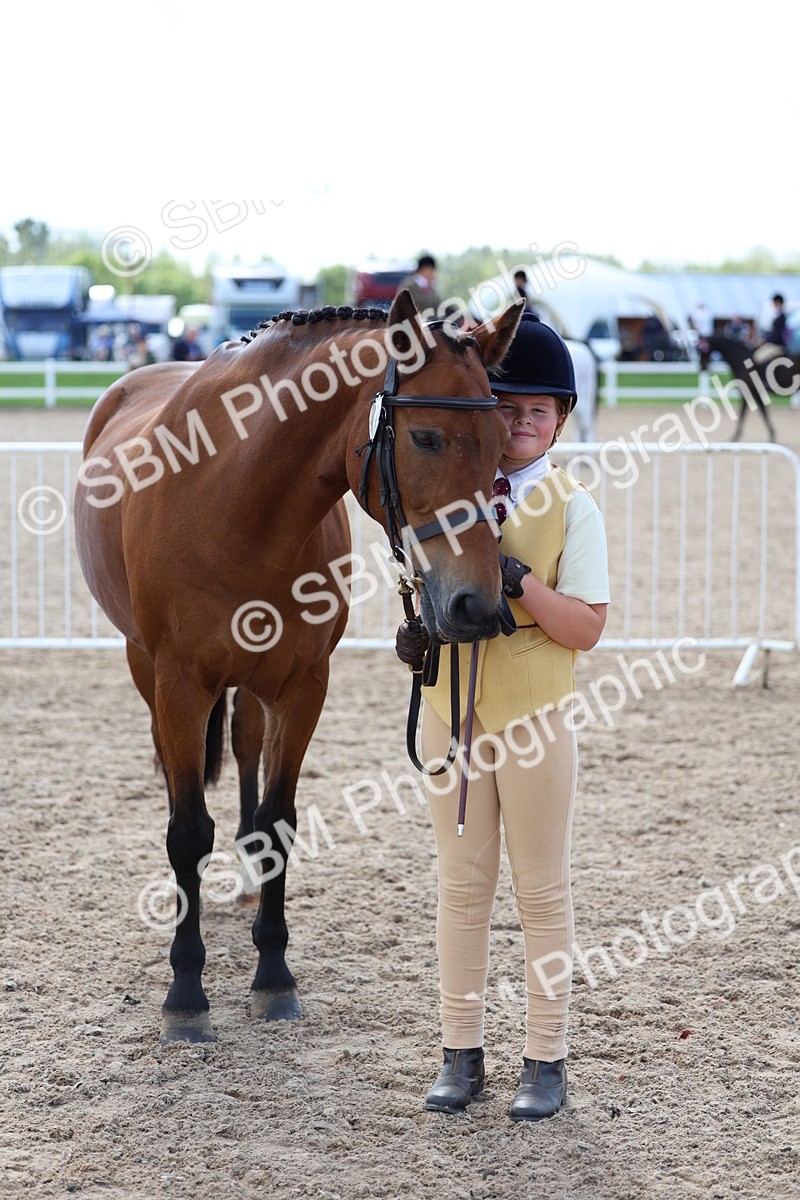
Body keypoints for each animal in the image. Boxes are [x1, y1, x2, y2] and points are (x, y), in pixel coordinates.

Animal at [74, 290, 523, 1043]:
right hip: (147, 671)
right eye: (426, 438)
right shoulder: (178, 685)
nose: (476, 605)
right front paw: (186, 992)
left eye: (499, 444)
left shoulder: (302, 686)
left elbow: (277, 824)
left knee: (247, 757)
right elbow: (187, 831)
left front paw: (273, 976)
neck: (233, 503)